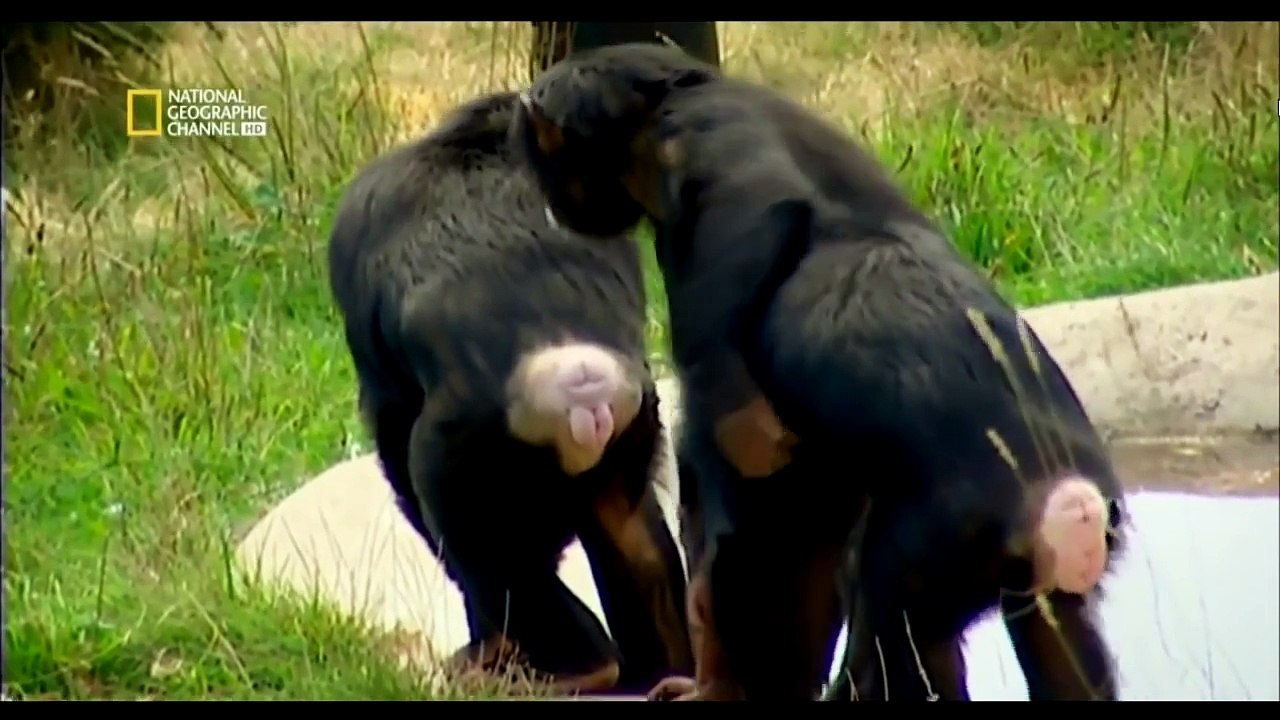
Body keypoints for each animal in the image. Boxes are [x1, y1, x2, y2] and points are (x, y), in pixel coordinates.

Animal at [326, 90, 693, 696]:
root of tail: (580, 394)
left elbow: (392, 431)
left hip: (468, 453)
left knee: (486, 557)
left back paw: (556, 663)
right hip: (630, 414)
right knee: (631, 532)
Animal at [512, 43, 1128, 701]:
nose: (547, 197)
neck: (667, 107)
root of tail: (1064, 506)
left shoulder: (709, 216)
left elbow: (748, 457)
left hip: (939, 549)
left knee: (888, 641)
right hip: (1039, 579)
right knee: (1057, 640)